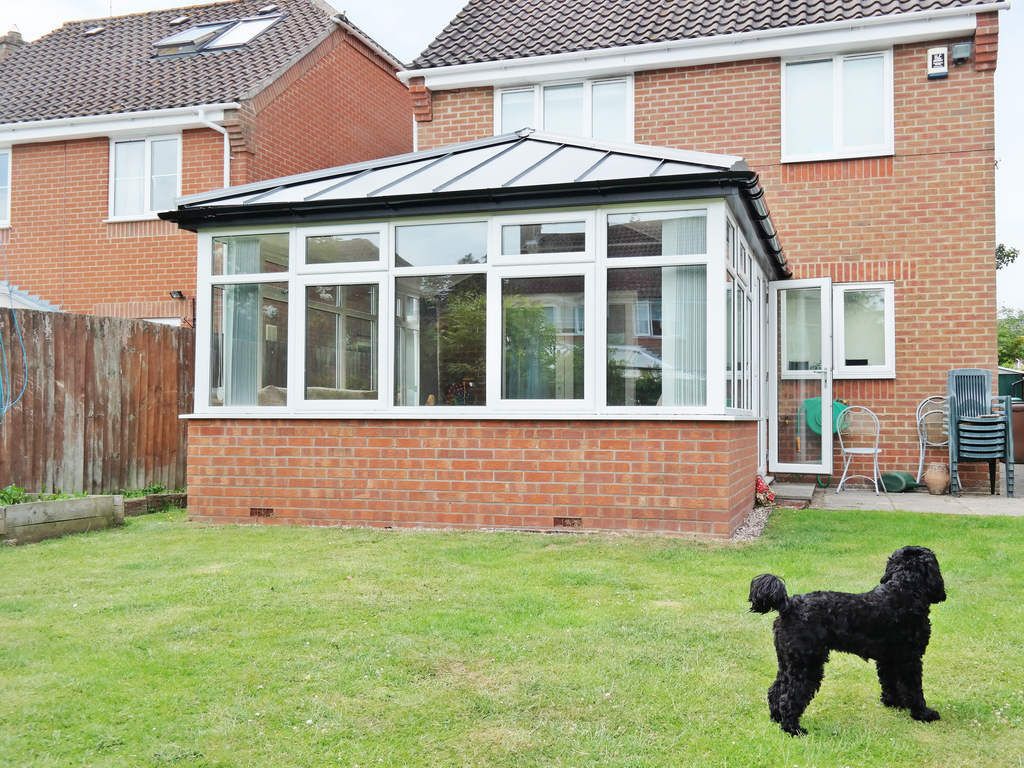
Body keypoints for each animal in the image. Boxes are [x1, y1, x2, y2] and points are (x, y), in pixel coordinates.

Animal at [749, 548, 946, 741]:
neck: (904, 589)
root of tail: (788, 605)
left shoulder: (888, 659)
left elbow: (889, 682)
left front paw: (893, 703)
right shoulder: (910, 660)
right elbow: (914, 689)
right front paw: (923, 713)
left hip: (788, 662)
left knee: (775, 690)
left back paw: (776, 718)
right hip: (807, 666)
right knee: (789, 698)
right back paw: (793, 729)